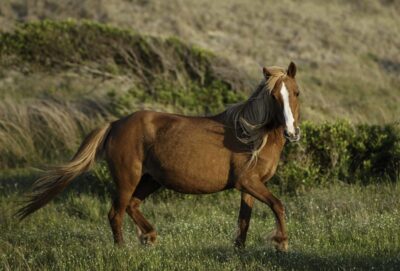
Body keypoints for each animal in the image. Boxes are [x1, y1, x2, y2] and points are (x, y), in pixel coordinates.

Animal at [17, 61, 302, 253]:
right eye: (273, 96)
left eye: (296, 92)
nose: (292, 132)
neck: (253, 135)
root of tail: (116, 124)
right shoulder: (248, 182)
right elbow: (278, 205)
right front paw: (282, 243)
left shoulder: (249, 187)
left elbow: (244, 219)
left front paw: (239, 249)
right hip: (128, 179)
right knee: (115, 212)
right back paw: (122, 250)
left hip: (151, 180)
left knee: (131, 206)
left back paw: (149, 236)